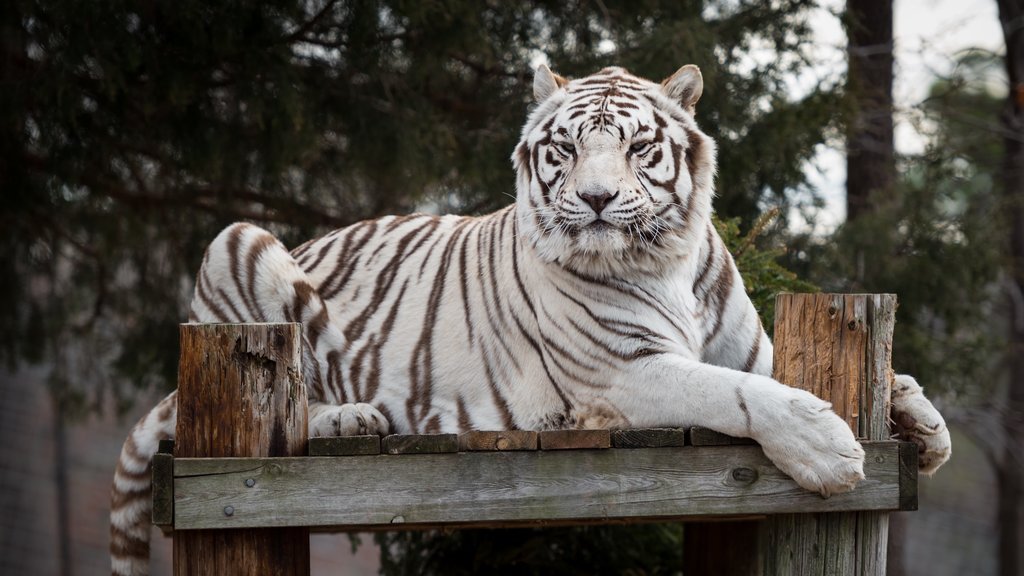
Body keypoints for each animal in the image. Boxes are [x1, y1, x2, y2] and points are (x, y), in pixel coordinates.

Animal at [112, 63, 950, 573]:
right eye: (566, 149)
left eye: (638, 149)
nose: (598, 199)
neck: (666, 260)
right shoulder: (622, 373)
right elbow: (739, 395)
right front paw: (829, 453)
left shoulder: (748, 349)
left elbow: (829, 377)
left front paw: (923, 423)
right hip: (234, 243)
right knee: (287, 396)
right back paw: (353, 418)